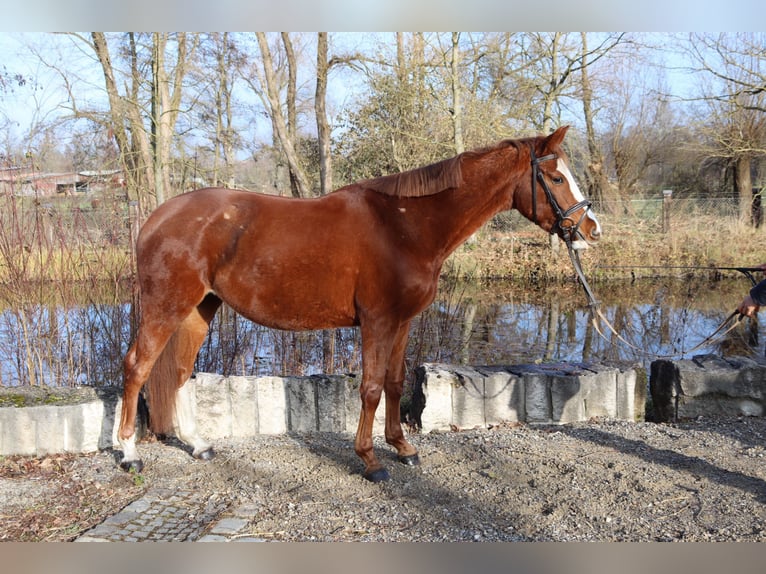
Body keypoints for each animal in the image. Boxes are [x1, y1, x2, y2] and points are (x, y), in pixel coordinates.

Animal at [117, 125, 604, 482]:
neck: (405, 227)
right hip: (166, 307)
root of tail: (155, 218)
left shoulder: (402, 322)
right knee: (138, 366)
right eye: (556, 178)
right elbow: (369, 388)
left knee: (180, 372)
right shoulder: (377, 321)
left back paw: (198, 445)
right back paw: (127, 452)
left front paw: (403, 448)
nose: (591, 229)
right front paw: (370, 459)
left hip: (200, 308)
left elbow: (394, 382)